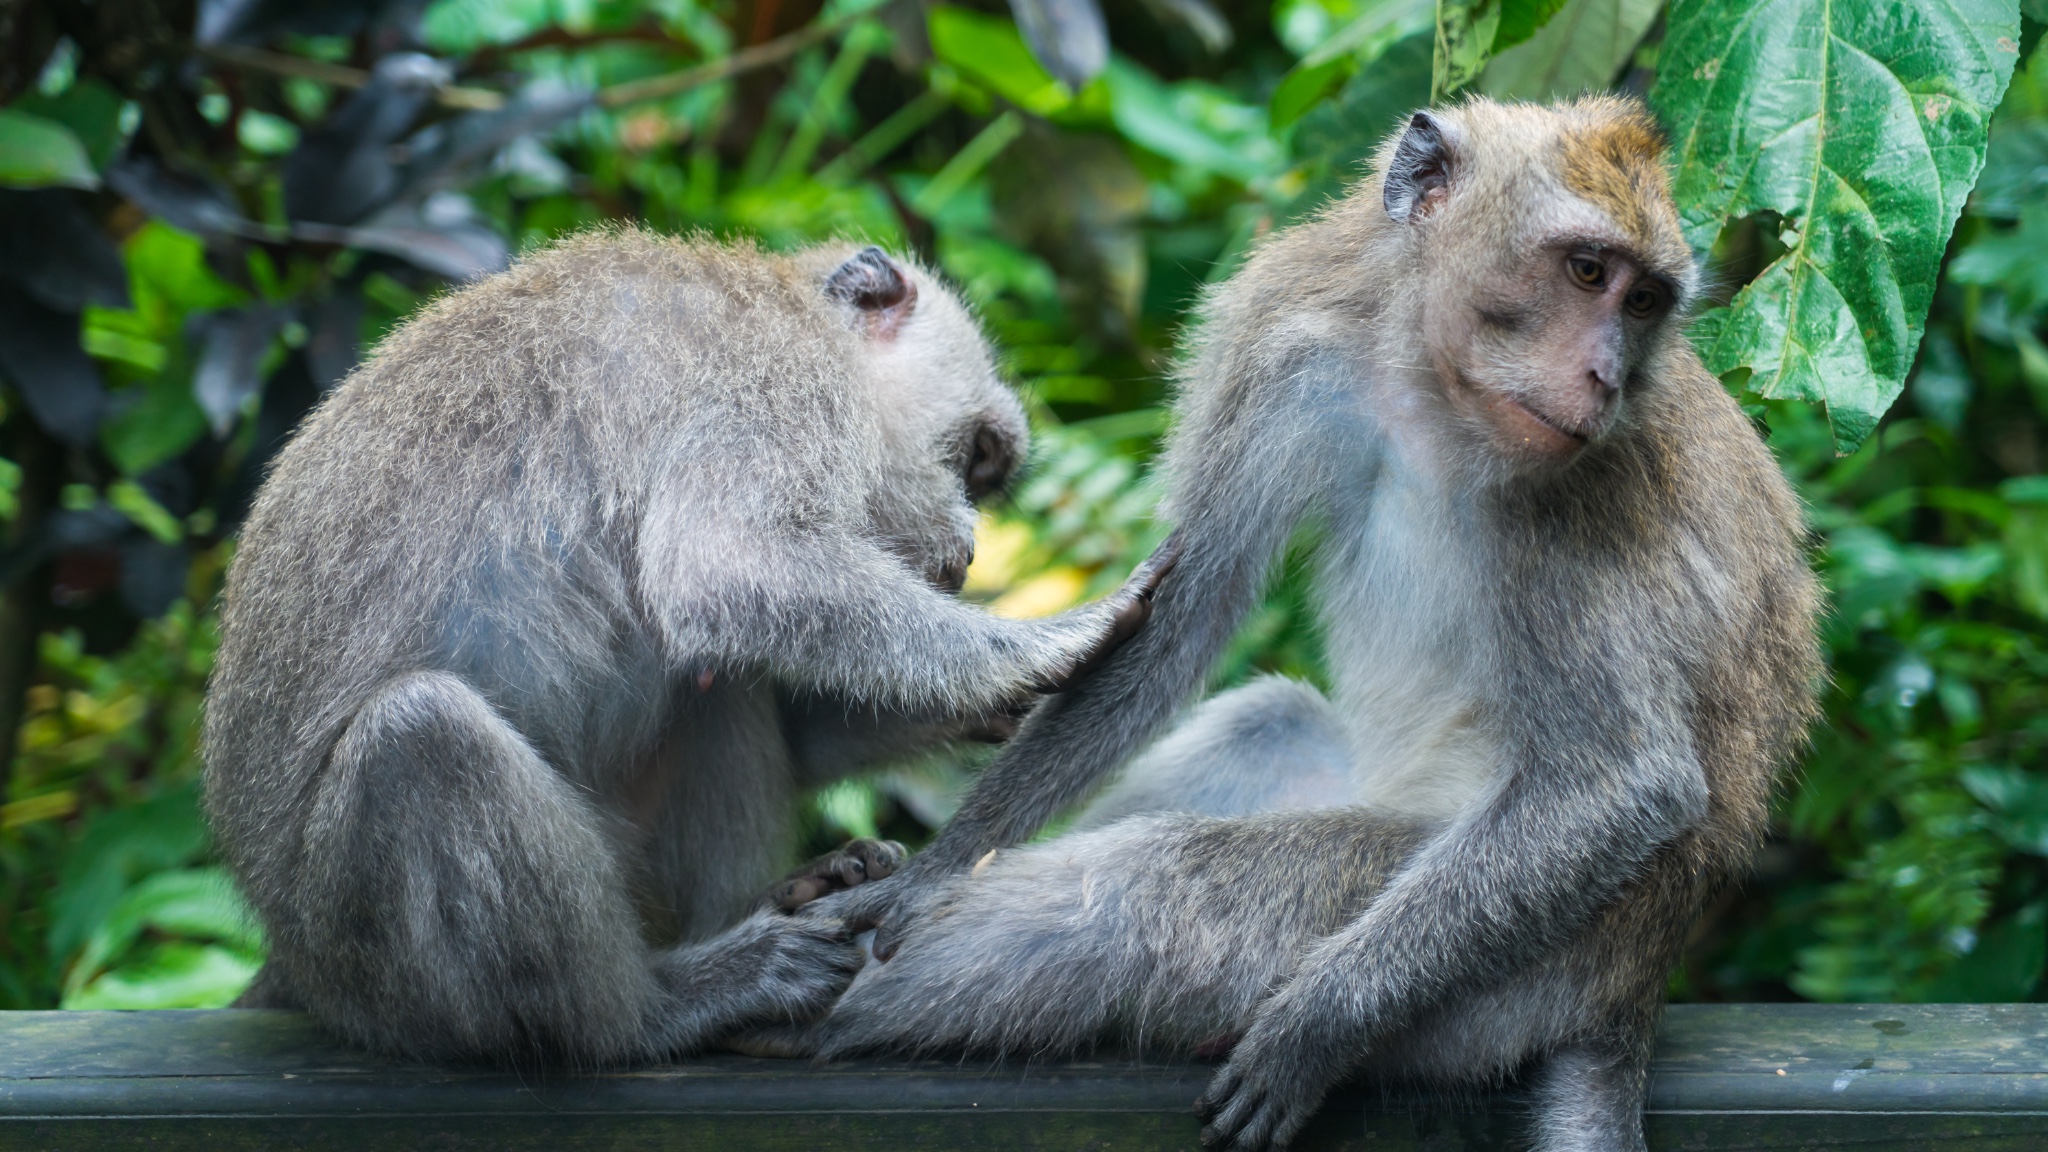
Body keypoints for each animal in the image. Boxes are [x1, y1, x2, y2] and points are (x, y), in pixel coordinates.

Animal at [203, 228, 1187, 1065]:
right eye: (979, 459)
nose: (974, 545)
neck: (800, 317)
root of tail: (293, 958)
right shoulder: (771, 388)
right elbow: (726, 568)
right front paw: (1035, 650)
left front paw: (991, 707)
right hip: (368, 963)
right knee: (423, 734)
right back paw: (661, 1008)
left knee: (716, 687)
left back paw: (779, 900)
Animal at [798, 98, 1826, 1147]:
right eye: (1587, 272)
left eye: (1646, 300)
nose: (1606, 376)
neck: (1433, 385)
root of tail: (1633, 993)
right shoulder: (1288, 342)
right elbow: (1181, 620)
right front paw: (933, 870)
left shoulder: (1588, 479)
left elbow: (1621, 784)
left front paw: (1315, 1026)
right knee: (1262, 723)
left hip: (1523, 975)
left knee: (1153, 885)